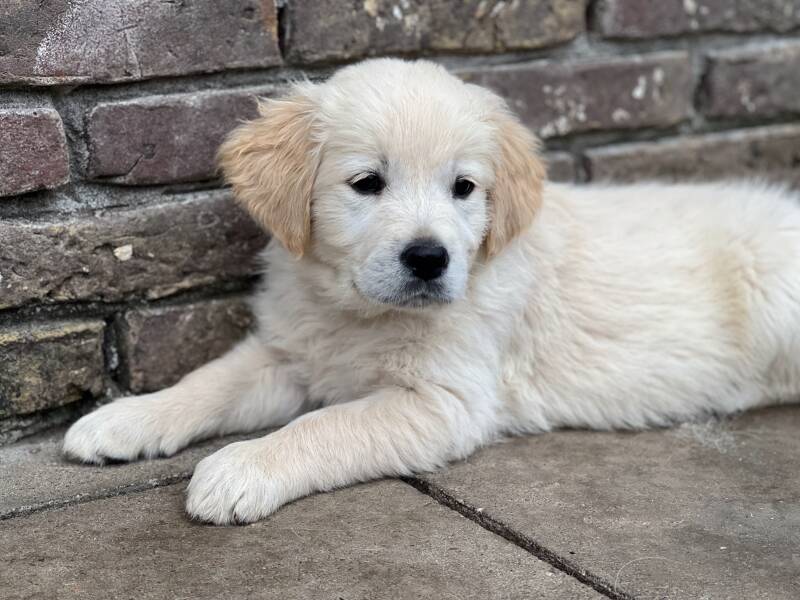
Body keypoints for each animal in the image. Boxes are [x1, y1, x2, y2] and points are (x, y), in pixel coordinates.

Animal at [63, 59, 800, 525]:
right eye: (367, 183)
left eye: (464, 188)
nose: (428, 258)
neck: (361, 313)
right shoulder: (289, 352)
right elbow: (209, 381)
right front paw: (126, 418)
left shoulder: (443, 401)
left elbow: (325, 424)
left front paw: (244, 466)